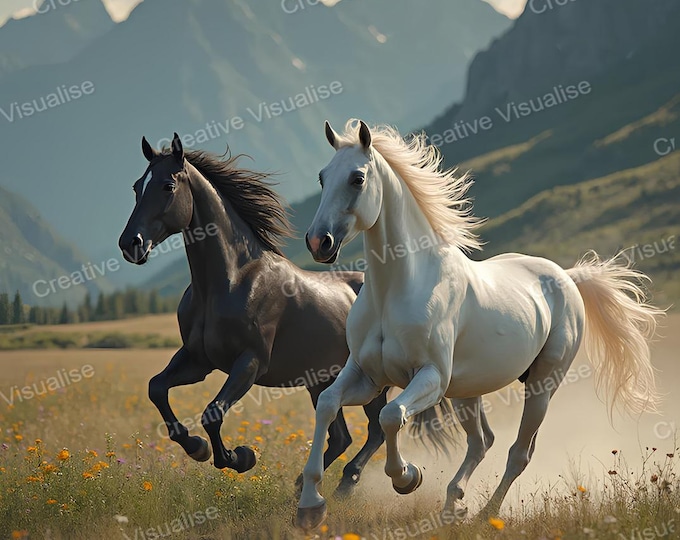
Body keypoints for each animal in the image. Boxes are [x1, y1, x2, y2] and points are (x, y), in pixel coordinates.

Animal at [118, 133, 388, 494]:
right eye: (137, 186)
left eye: (167, 186)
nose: (130, 244)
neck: (230, 281)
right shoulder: (198, 360)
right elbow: (156, 388)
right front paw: (197, 447)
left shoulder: (250, 362)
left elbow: (213, 413)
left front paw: (240, 457)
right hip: (321, 381)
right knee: (341, 437)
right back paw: (302, 485)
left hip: (373, 379)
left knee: (377, 429)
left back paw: (347, 483)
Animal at [295, 119, 663, 529]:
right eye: (322, 177)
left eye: (357, 178)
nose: (318, 242)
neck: (397, 289)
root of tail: (567, 277)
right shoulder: (366, 375)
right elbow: (327, 404)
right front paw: (309, 505)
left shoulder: (430, 378)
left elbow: (392, 417)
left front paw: (407, 477)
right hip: (467, 392)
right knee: (481, 441)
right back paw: (452, 504)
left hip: (542, 385)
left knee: (519, 452)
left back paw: (486, 513)